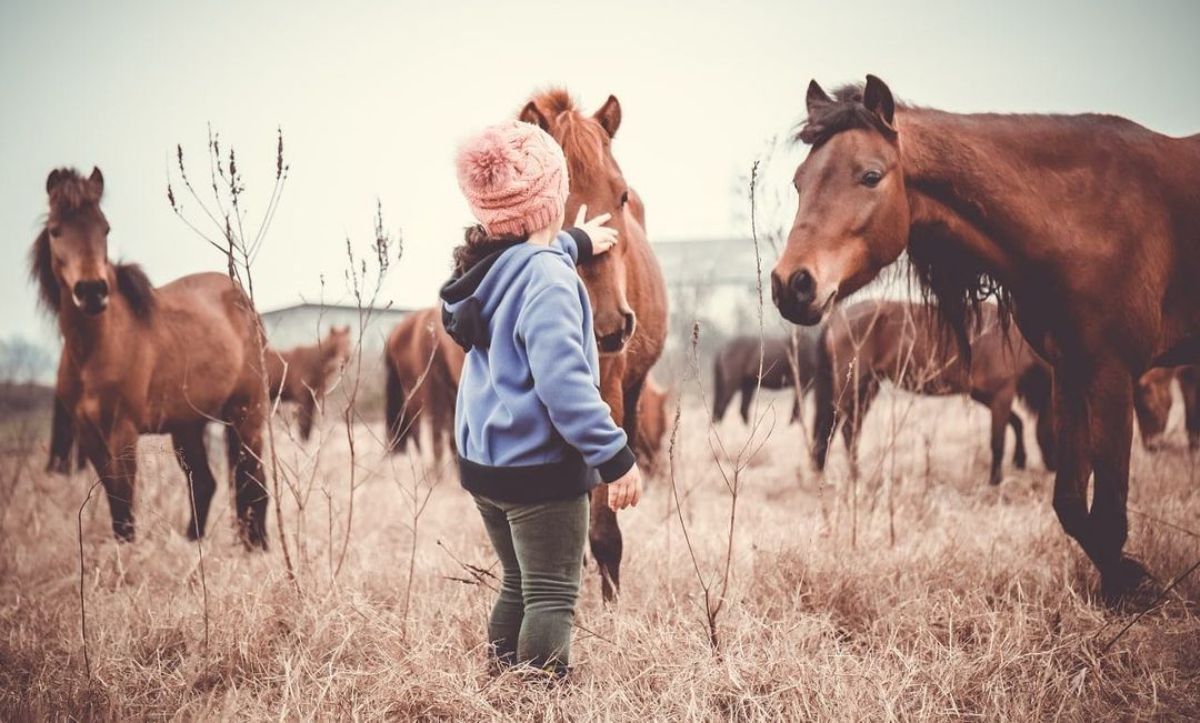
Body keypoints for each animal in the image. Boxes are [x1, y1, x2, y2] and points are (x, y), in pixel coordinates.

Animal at [31, 164, 271, 545]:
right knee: (206, 483)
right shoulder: (89, 435)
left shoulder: (124, 431)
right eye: (56, 230)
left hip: (246, 413)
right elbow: (116, 502)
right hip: (188, 426)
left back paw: (256, 547)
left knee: (254, 484)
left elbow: (123, 499)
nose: (92, 291)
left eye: (105, 228)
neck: (95, 350)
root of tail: (243, 301)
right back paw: (193, 545)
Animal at [811, 297, 1056, 485]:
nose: (1054, 468)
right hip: (852, 387)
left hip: (869, 387)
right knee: (842, 428)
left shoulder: (983, 394)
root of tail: (835, 319)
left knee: (851, 427)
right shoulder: (1001, 393)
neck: (1013, 341)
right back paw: (853, 477)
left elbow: (1016, 422)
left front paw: (1020, 460)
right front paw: (996, 480)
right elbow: (999, 440)